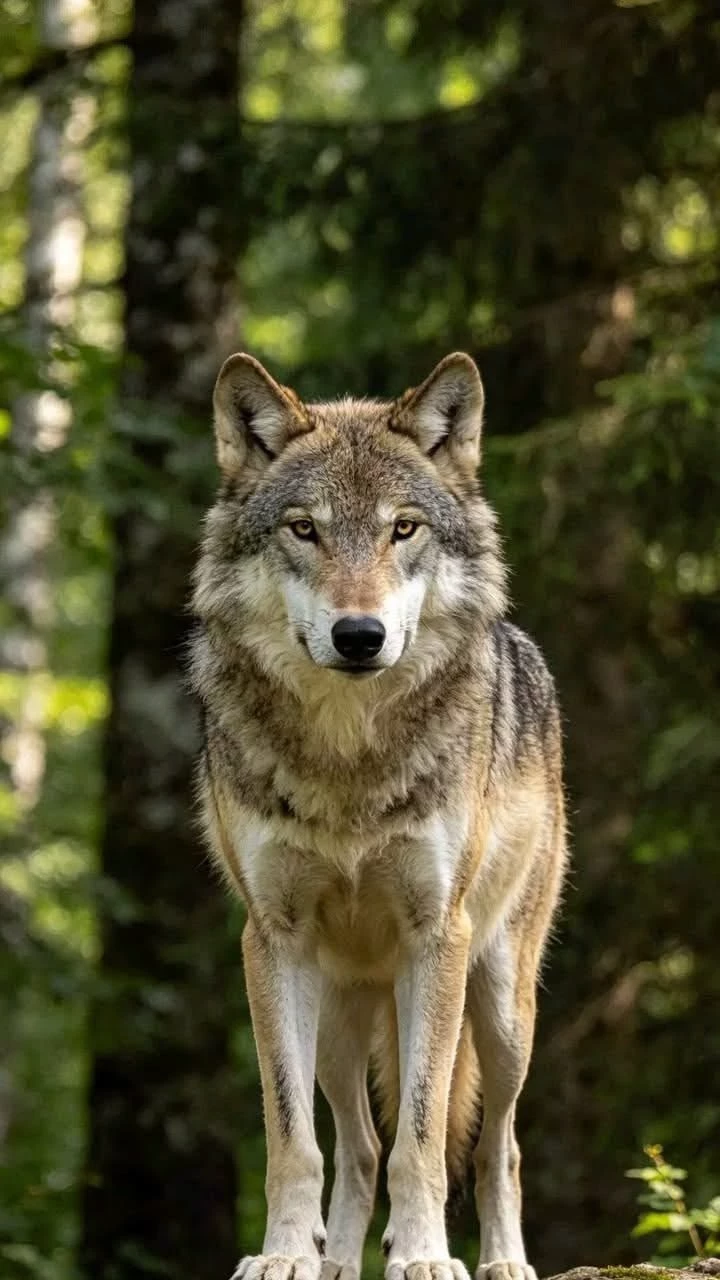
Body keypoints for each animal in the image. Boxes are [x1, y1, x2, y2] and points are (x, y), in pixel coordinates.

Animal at [190, 351, 567, 1280]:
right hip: (335, 1019)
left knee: (496, 1145)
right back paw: (331, 1263)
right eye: (304, 529)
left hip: (499, 1007)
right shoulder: (272, 941)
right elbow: (292, 1139)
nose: (358, 635)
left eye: (403, 529)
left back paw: (503, 1262)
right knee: (356, 1148)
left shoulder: (437, 937)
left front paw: (426, 1257)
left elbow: (424, 1138)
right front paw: (283, 1254)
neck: (347, 756)